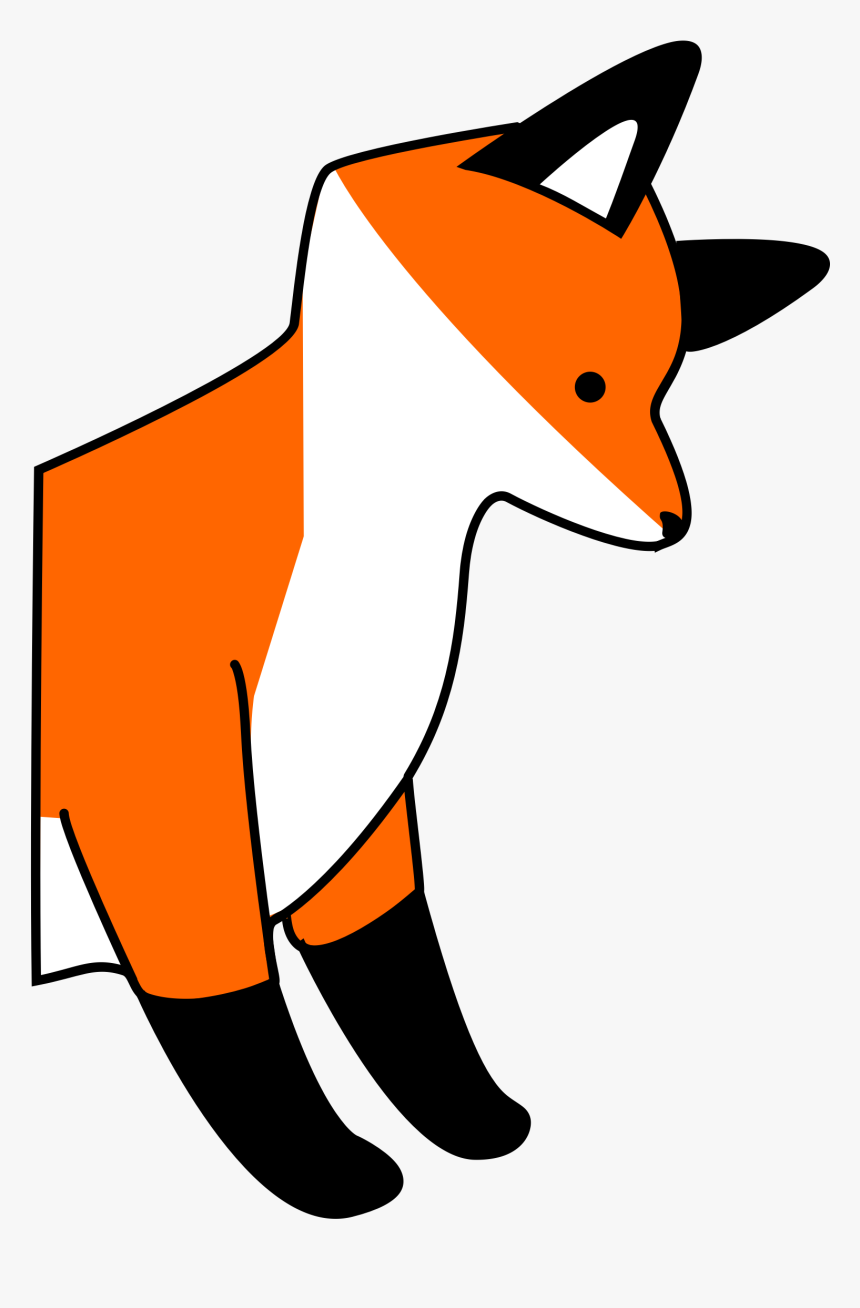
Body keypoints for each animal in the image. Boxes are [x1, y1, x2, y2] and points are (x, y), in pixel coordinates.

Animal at [32, 42, 829, 1217]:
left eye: (661, 389)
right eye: (589, 383)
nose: (676, 521)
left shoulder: (355, 813)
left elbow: (398, 987)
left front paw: (472, 1125)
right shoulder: (165, 807)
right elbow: (233, 1017)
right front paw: (321, 1173)